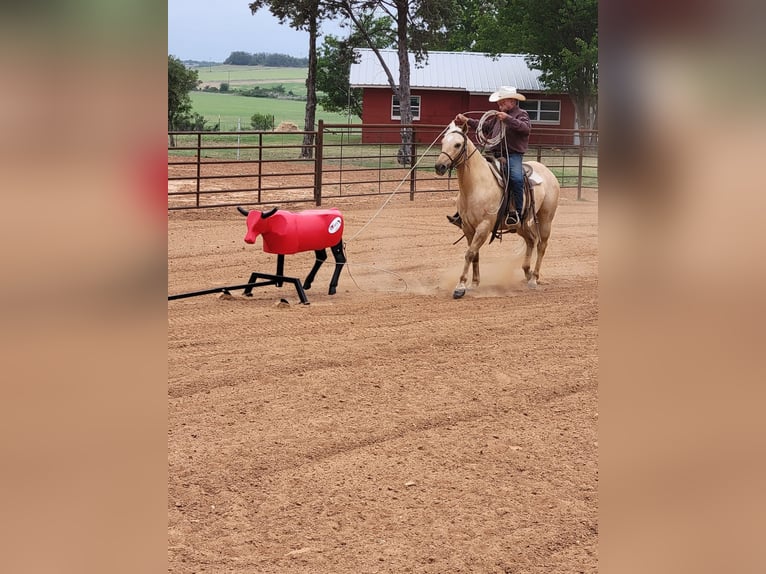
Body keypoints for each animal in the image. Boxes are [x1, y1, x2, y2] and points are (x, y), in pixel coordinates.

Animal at [436, 123, 560, 300]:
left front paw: (460, 287)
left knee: (541, 245)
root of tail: (547, 171)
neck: (476, 186)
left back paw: (534, 279)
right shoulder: (468, 228)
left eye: (458, 144)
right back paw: (527, 272)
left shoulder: (484, 226)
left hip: (546, 219)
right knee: (531, 240)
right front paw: (474, 283)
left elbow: (469, 253)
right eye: (443, 141)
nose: (439, 166)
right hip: (521, 224)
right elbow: (474, 253)